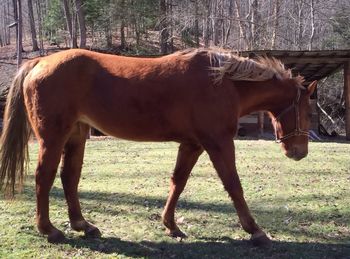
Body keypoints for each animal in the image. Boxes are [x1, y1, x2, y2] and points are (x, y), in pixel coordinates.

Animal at [0, 48, 318, 246]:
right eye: (307, 111)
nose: (299, 152)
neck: (222, 82)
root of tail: (40, 62)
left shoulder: (192, 145)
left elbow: (178, 182)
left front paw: (171, 225)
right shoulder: (218, 143)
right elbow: (234, 185)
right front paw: (255, 230)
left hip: (76, 137)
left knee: (69, 178)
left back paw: (83, 225)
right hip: (53, 138)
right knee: (44, 177)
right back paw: (49, 230)